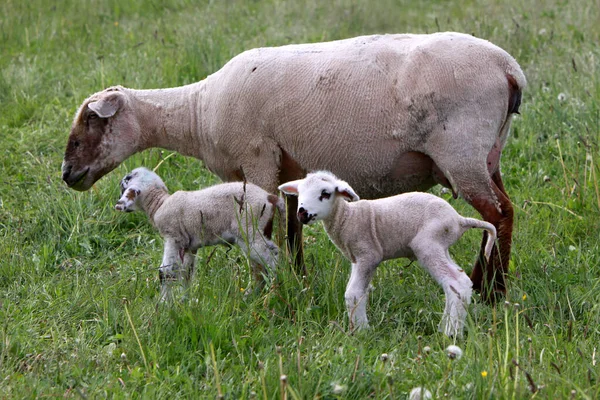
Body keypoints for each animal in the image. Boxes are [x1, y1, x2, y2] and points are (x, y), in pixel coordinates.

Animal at [115, 166, 284, 300]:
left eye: (127, 180)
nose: (119, 185)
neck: (159, 204)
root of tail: (270, 197)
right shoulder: (189, 246)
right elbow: (186, 273)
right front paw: (185, 300)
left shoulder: (173, 237)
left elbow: (166, 273)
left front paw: (163, 305)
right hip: (260, 229)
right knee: (269, 257)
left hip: (249, 230)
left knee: (272, 258)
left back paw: (276, 289)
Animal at [278, 170, 494, 336]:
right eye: (299, 193)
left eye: (325, 193)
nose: (302, 213)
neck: (347, 217)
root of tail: (459, 219)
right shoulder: (357, 260)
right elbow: (358, 292)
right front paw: (358, 328)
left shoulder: (368, 254)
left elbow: (353, 293)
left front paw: (361, 332)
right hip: (441, 245)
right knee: (456, 282)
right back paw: (445, 327)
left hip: (428, 243)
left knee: (456, 281)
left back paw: (451, 332)